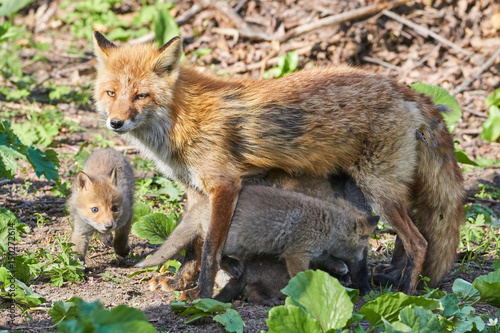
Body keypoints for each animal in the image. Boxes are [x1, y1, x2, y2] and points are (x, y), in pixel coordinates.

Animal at [93, 31, 464, 296]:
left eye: (141, 96)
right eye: (111, 94)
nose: (115, 123)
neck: (181, 118)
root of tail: (406, 88)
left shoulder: (225, 185)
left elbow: (210, 249)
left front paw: (200, 294)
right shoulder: (196, 192)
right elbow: (191, 247)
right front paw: (180, 282)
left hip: (380, 191)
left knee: (419, 241)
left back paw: (407, 292)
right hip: (384, 191)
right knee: (412, 235)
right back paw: (392, 278)